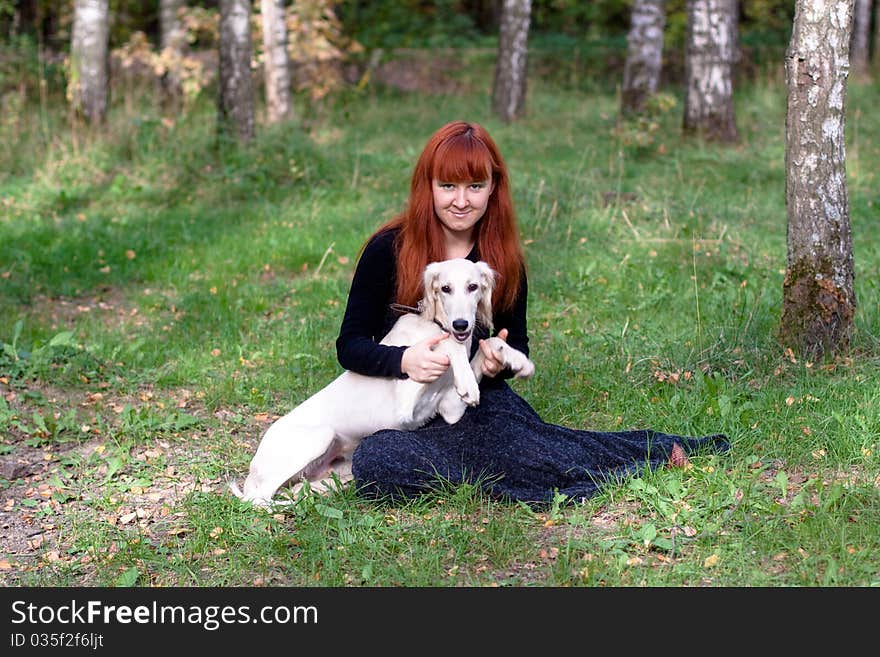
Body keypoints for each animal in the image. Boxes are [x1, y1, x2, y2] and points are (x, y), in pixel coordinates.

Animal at [227, 258, 532, 508]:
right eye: (445, 288)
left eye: (472, 286)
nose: (460, 325)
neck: (433, 325)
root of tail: (253, 469)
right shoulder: (406, 407)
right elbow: (448, 347)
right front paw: (465, 373)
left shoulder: (450, 409)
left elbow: (489, 344)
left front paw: (516, 359)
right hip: (320, 437)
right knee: (259, 498)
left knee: (299, 488)